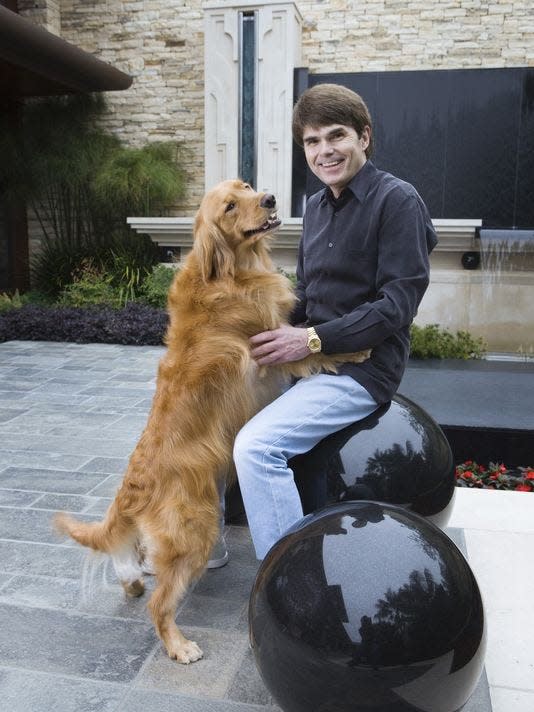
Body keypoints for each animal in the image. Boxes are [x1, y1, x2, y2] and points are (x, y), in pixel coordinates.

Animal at [55, 178, 372, 660]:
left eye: (246, 185)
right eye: (230, 206)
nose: (270, 199)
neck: (231, 270)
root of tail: (132, 488)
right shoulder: (272, 344)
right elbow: (310, 344)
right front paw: (355, 348)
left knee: (133, 566)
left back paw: (131, 581)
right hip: (196, 530)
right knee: (160, 603)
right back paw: (179, 645)